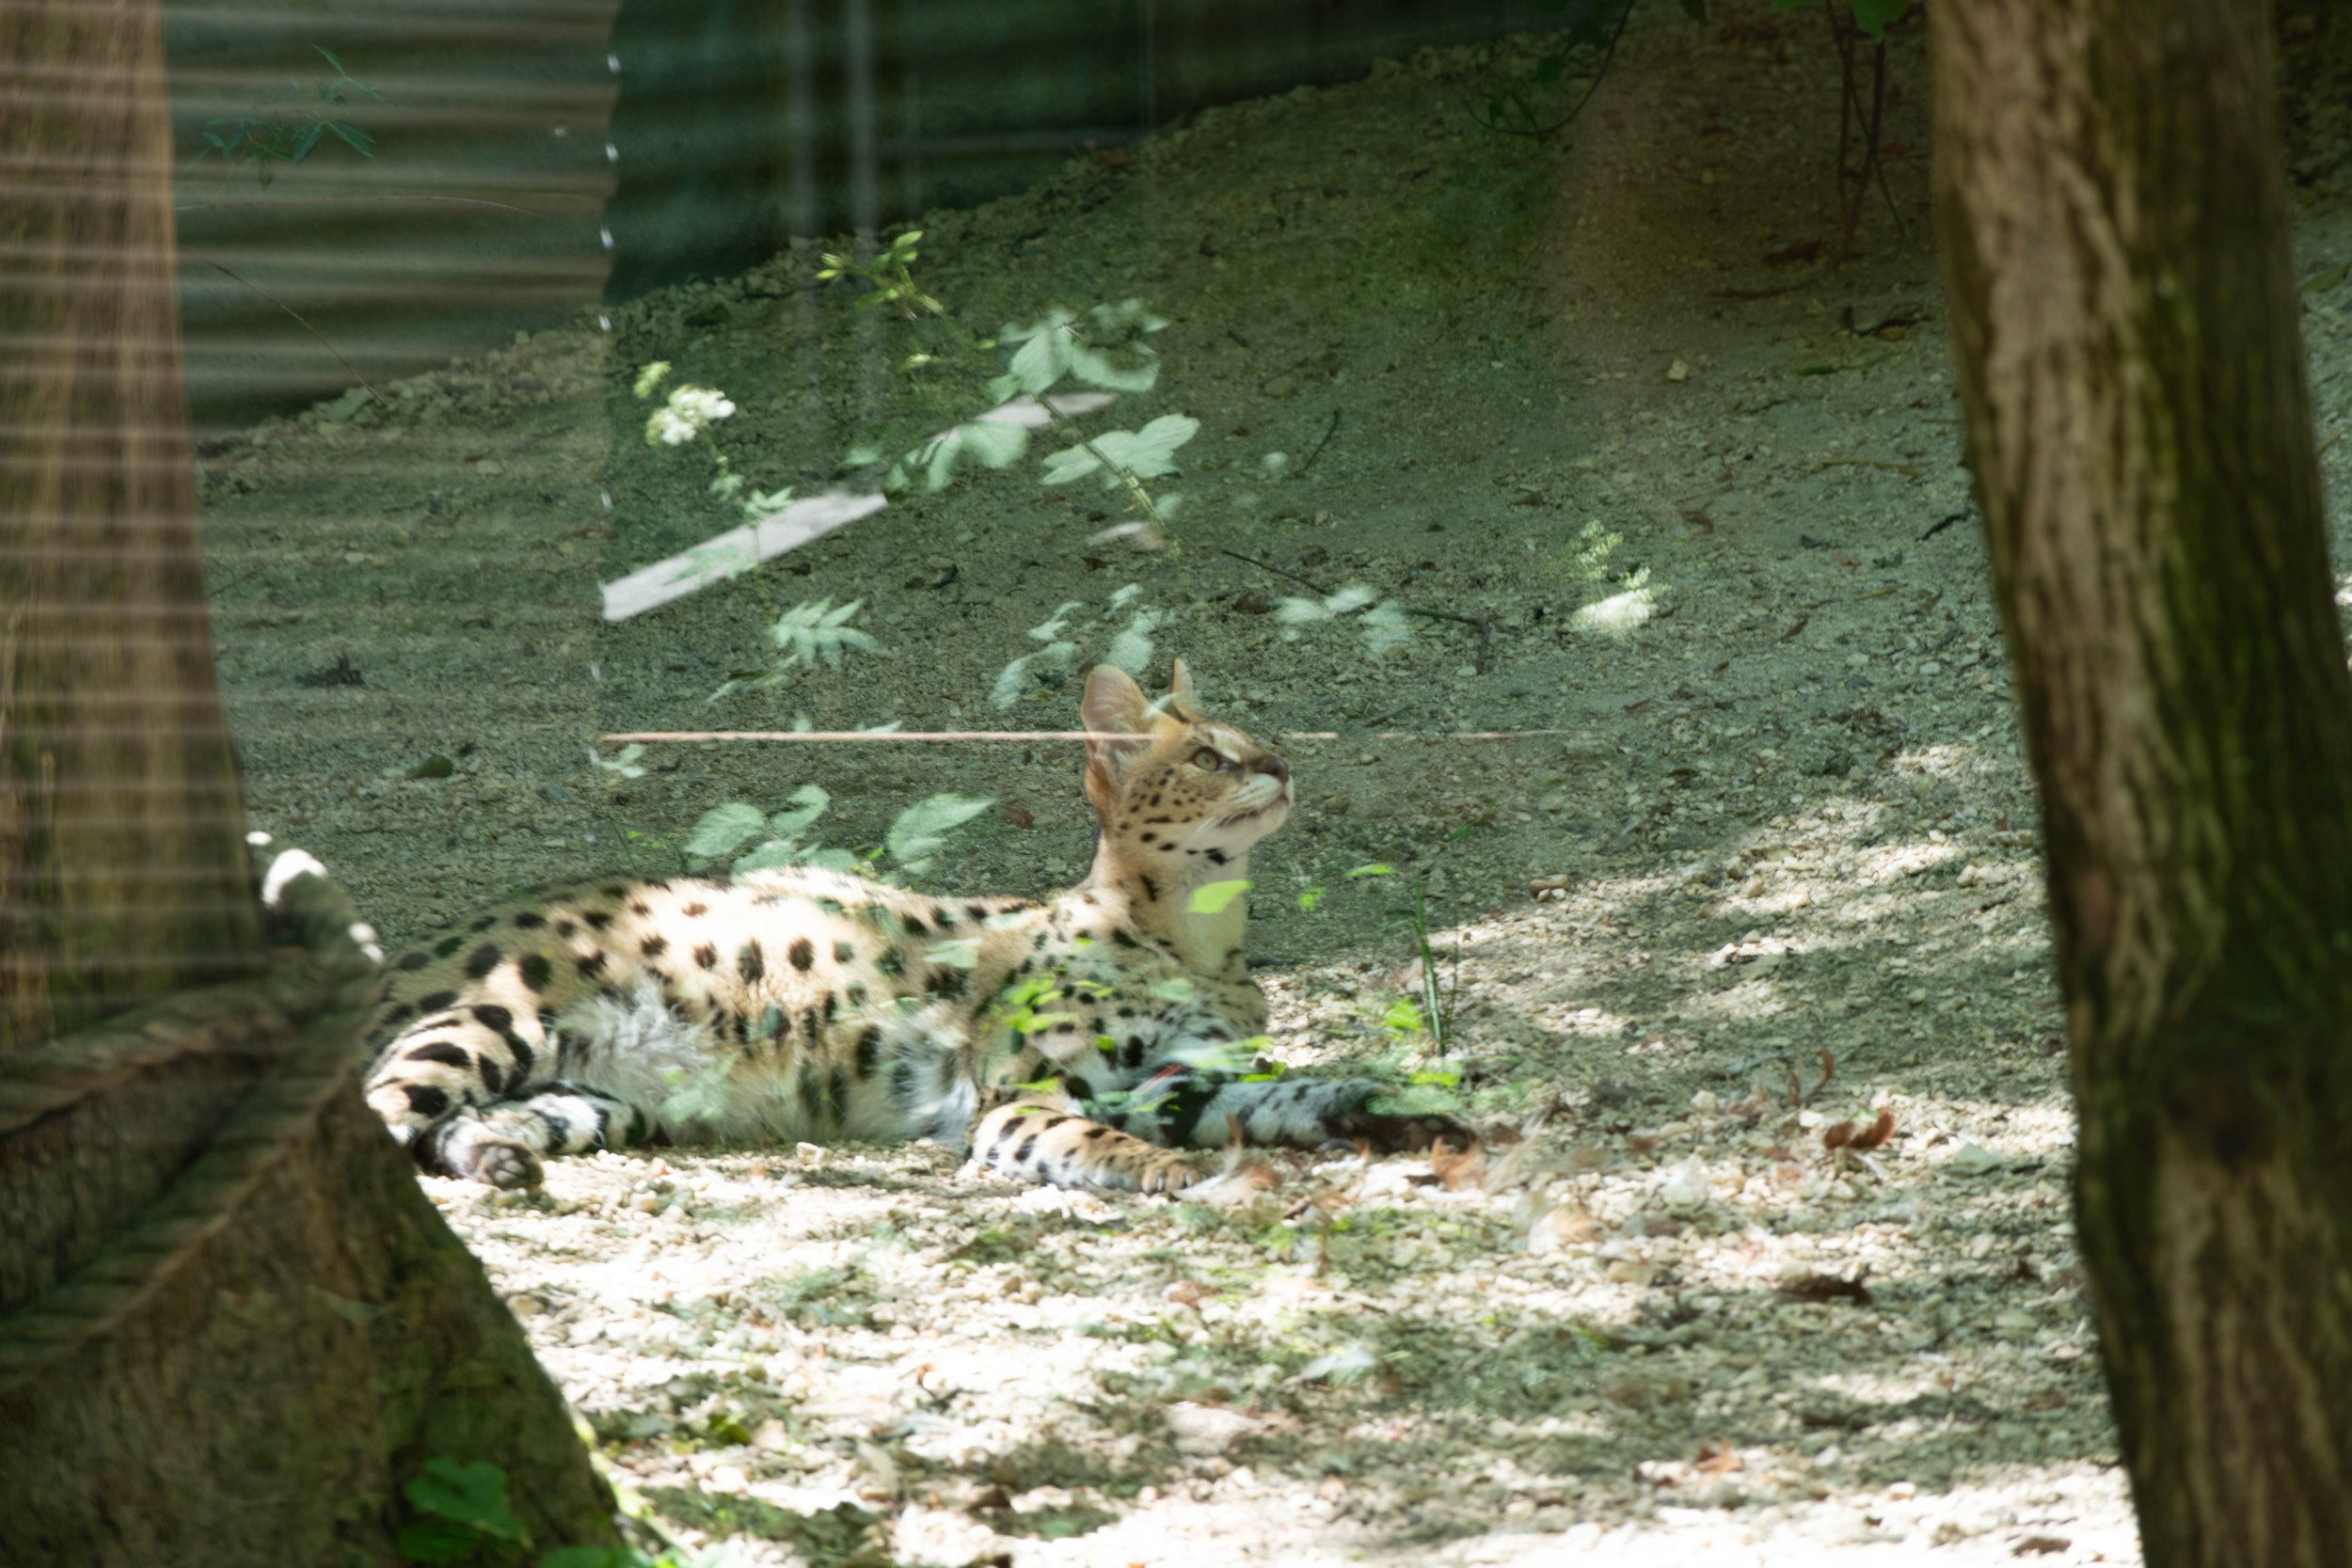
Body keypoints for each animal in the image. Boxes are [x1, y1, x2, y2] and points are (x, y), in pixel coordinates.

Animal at [360, 660, 1467, 1193]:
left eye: (1260, 739)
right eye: (1207, 756)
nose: (1281, 763)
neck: (1198, 939)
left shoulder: (1182, 1080)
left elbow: (1302, 1087)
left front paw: (1396, 1110)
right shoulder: (1020, 1098)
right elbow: (1100, 1138)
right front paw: (1170, 1172)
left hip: (595, 1099)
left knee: (456, 1128)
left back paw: (497, 1159)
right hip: (490, 1024)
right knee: (379, 1116)